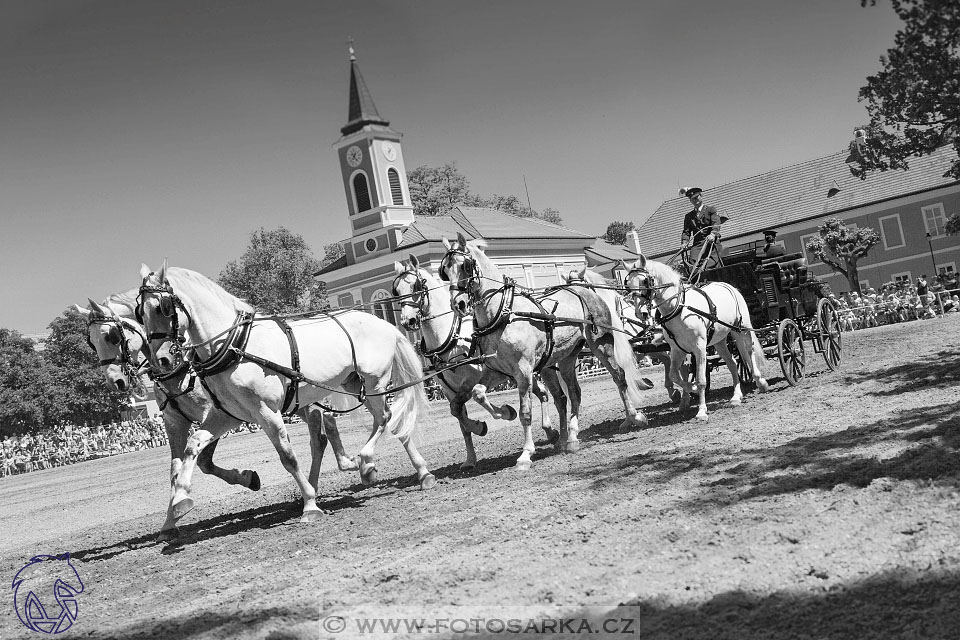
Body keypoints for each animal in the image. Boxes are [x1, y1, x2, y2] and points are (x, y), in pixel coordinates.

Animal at [135, 262, 432, 524]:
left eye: (161, 307)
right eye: (140, 313)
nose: (161, 360)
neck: (235, 346)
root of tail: (385, 323)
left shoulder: (266, 411)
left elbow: (287, 457)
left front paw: (310, 505)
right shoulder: (227, 415)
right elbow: (192, 446)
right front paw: (180, 499)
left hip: (374, 383)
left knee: (384, 418)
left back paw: (368, 464)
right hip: (354, 384)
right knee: (390, 423)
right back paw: (421, 472)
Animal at [388, 255, 556, 470]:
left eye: (417, 286)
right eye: (397, 290)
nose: (407, 321)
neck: (450, 337)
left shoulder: (472, 381)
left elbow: (470, 403)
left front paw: (502, 414)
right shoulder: (449, 390)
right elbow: (458, 417)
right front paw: (471, 455)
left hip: (521, 372)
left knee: (541, 393)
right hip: (520, 374)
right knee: (542, 392)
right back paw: (551, 431)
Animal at [440, 232, 652, 468]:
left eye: (465, 265)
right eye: (445, 270)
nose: (457, 304)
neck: (503, 313)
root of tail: (584, 290)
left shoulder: (523, 370)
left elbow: (525, 413)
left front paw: (526, 453)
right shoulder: (495, 371)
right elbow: (478, 393)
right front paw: (504, 412)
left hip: (601, 345)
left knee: (619, 376)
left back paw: (633, 417)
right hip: (566, 357)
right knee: (573, 393)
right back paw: (570, 438)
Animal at [624, 252, 772, 422]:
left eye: (645, 281)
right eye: (628, 284)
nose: (640, 313)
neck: (679, 309)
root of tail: (728, 286)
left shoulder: (699, 347)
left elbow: (701, 380)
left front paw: (701, 410)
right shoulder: (677, 350)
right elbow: (674, 375)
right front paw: (691, 389)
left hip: (741, 329)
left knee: (748, 352)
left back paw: (761, 382)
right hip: (719, 340)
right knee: (733, 363)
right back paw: (736, 396)